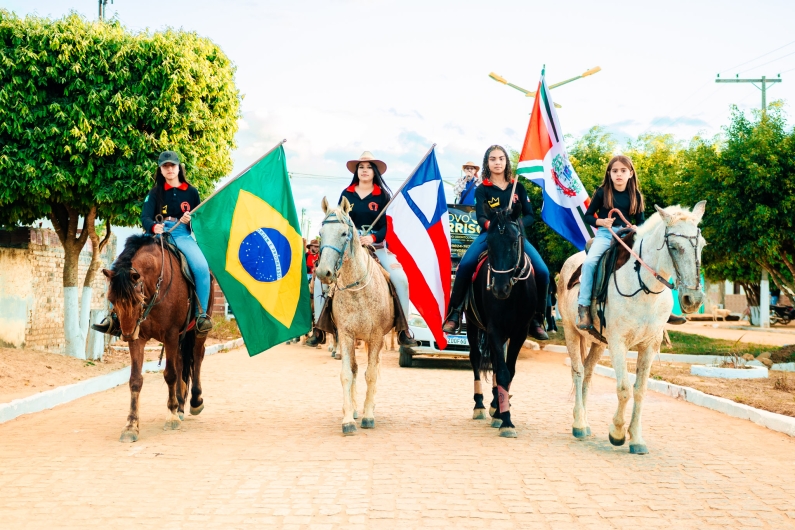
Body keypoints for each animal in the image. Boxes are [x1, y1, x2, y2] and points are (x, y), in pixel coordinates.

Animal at [101, 233, 213, 440]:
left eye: (137, 300)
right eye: (111, 299)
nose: (127, 335)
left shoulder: (170, 334)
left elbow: (170, 374)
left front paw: (171, 417)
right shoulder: (140, 338)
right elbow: (135, 380)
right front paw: (131, 426)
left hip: (197, 331)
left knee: (197, 357)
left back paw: (194, 401)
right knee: (180, 361)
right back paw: (180, 406)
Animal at [466, 202, 536, 438]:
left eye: (514, 242)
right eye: (489, 242)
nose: (499, 288)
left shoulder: (519, 332)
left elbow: (508, 371)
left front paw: (501, 411)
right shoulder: (494, 329)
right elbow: (503, 372)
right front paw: (506, 421)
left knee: (496, 364)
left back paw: (495, 403)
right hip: (472, 325)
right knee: (476, 358)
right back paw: (479, 405)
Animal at [556, 202, 704, 454]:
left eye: (702, 245)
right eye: (674, 246)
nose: (692, 299)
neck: (643, 287)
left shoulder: (650, 345)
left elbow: (640, 390)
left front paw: (636, 439)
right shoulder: (618, 343)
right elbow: (624, 389)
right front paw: (616, 433)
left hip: (598, 342)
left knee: (588, 373)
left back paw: (585, 422)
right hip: (571, 331)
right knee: (577, 372)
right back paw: (578, 425)